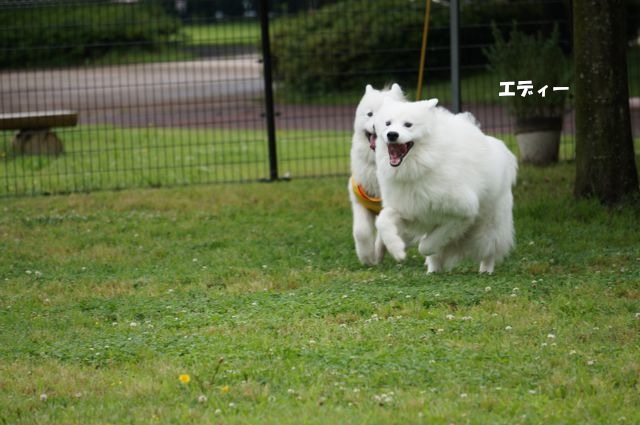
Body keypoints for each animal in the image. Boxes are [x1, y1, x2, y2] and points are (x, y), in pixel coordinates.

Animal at [350, 82, 404, 264]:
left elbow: (383, 231)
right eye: (370, 114)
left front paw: (379, 253)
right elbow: (361, 231)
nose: (376, 126)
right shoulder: (359, 202)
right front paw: (366, 257)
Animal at [376, 97, 516, 274]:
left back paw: (486, 270)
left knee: (489, 251)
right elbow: (382, 221)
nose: (392, 134)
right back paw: (432, 271)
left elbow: (426, 246)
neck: (423, 164)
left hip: (489, 227)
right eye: (387, 123)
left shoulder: (461, 214)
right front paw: (397, 250)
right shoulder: (409, 210)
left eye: (408, 124)